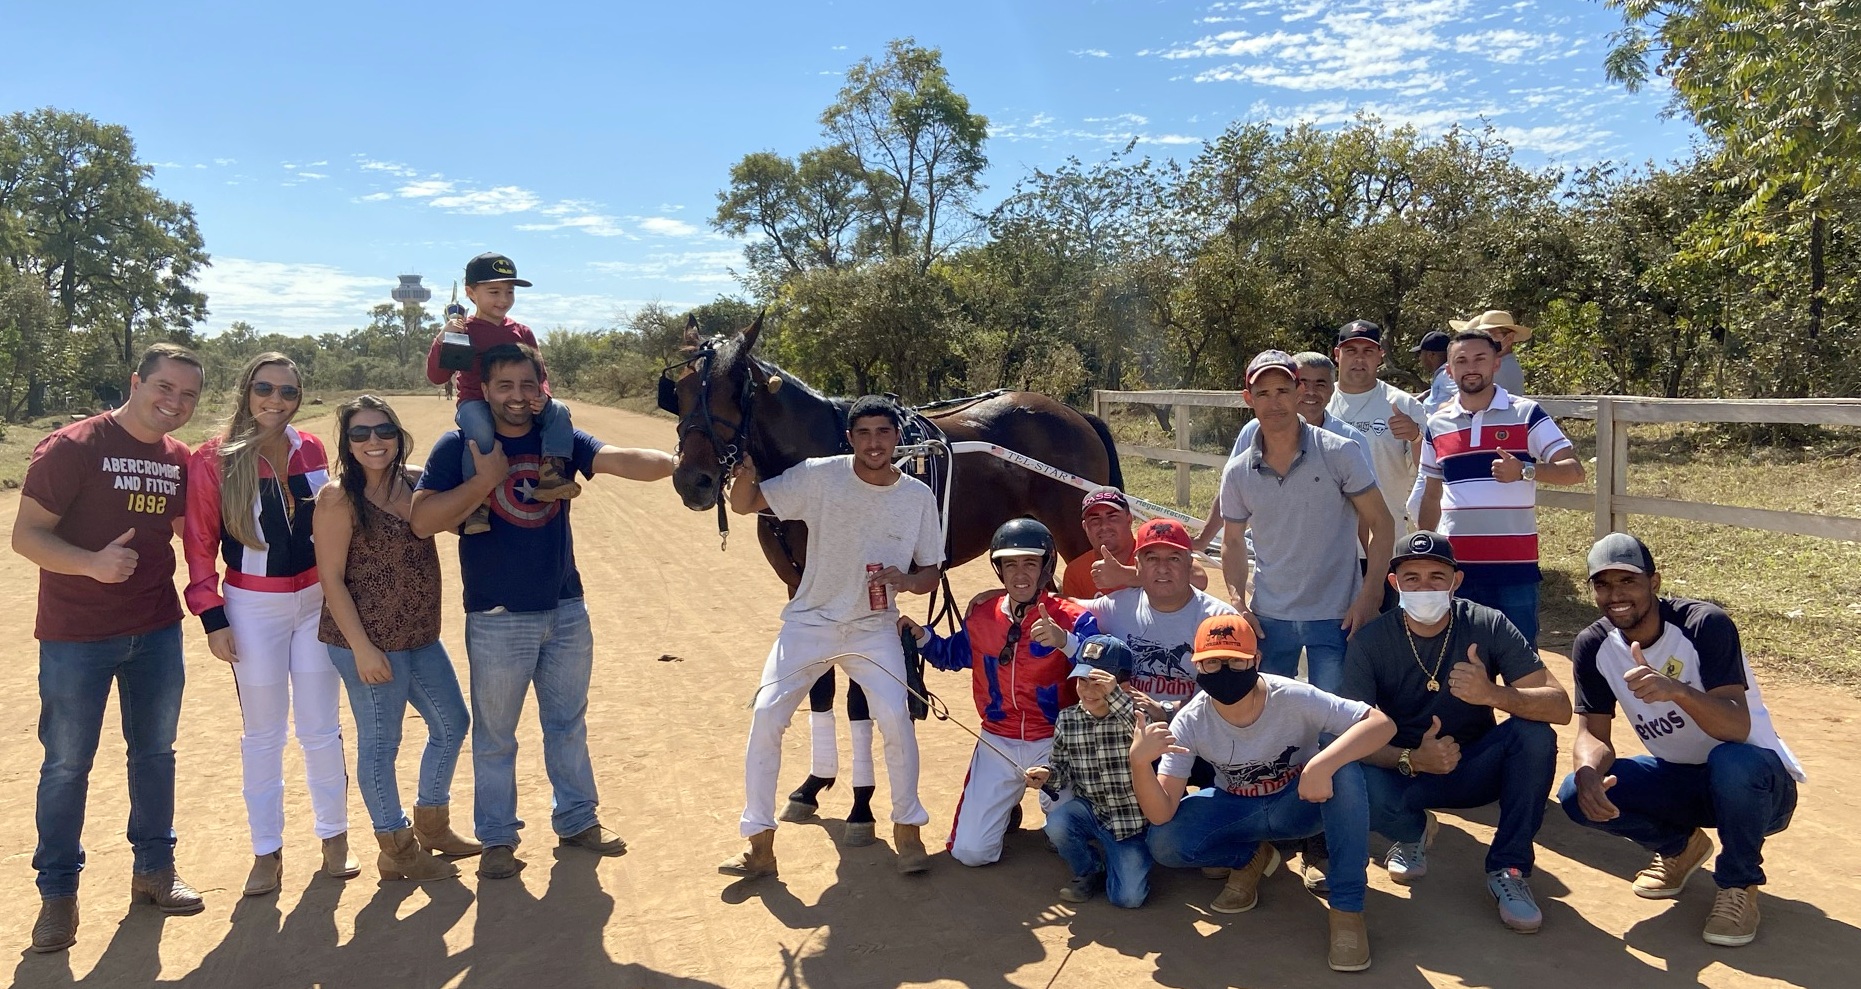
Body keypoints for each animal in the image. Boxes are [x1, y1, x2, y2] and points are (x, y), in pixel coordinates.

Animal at [660, 314, 1124, 830]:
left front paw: (861, 803)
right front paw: (813, 785)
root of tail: (1074, 415)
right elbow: (821, 687)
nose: (693, 480)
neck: (825, 456)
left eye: (735, 389)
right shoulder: (801, 589)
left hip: (1079, 538)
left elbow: (859, 697)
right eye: (680, 389)